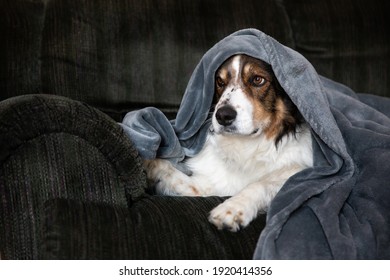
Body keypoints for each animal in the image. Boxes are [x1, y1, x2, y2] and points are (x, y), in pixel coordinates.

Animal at [145, 53, 312, 231]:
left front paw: (233, 207)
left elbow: (263, 183)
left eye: (258, 80)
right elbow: (176, 175)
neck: (247, 148)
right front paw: (146, 162)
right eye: (219, 81)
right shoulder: (212, 183)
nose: (223, 116)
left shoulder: (303, 172)